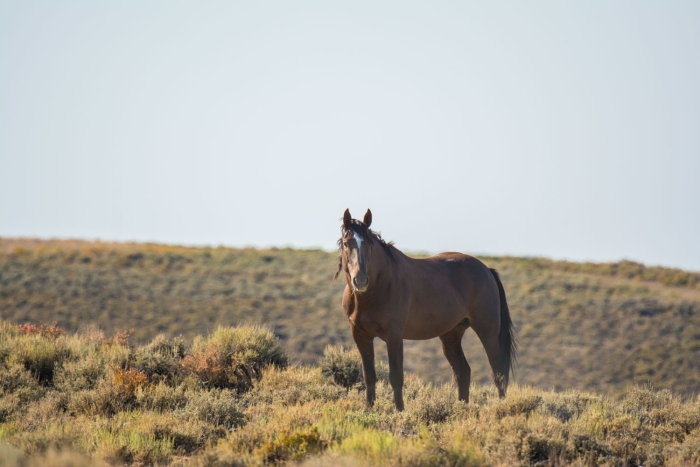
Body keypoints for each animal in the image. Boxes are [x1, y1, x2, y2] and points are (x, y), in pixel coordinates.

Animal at [334, 210, 516, 412]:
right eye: (346, 243)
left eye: (368, 243)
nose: (360, 280)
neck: (377, 289)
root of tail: (486, 269)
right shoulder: (361, 336)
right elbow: (369, 376)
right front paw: (369, 410)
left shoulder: (394, 336)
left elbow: (396, 377)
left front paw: (400, 411)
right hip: (451, 335)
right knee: (463, 372)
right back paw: (461, 408)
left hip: (488, 331)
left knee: (498, 372)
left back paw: (501, 408)